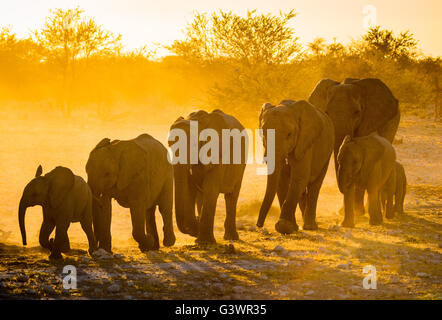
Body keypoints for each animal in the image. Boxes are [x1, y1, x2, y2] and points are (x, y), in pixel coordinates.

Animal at [167, 109, 247, 244]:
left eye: (194, 145)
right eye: (169, 145)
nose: (195, 224)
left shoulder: (219, 155)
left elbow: (211, 189)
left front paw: (204, 242)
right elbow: (190, 189)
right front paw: (198, 234)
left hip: (241, 167)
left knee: (231, 196)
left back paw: (231, 237)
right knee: (201, 196)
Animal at [256, 100, 334, 232]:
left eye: (289, 134)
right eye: (263, 133)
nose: (259, 225)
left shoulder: (305, 142)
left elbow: (299, 176)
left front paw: (284, 227)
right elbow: (282, 181)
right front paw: (290, 227)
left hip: (327, 153)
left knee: (315, 186)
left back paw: (310, 227)